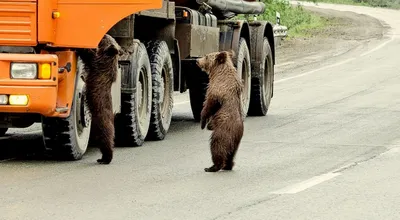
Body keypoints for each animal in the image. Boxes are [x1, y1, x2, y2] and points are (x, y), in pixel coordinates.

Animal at [77, 34, 122, 164]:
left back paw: (105, 159)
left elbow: (88, 55)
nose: (105, 34)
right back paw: (101, 158)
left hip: (101, 124)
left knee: (106, 141)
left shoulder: (97, 63)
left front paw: (80, 47)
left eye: (105, 39)